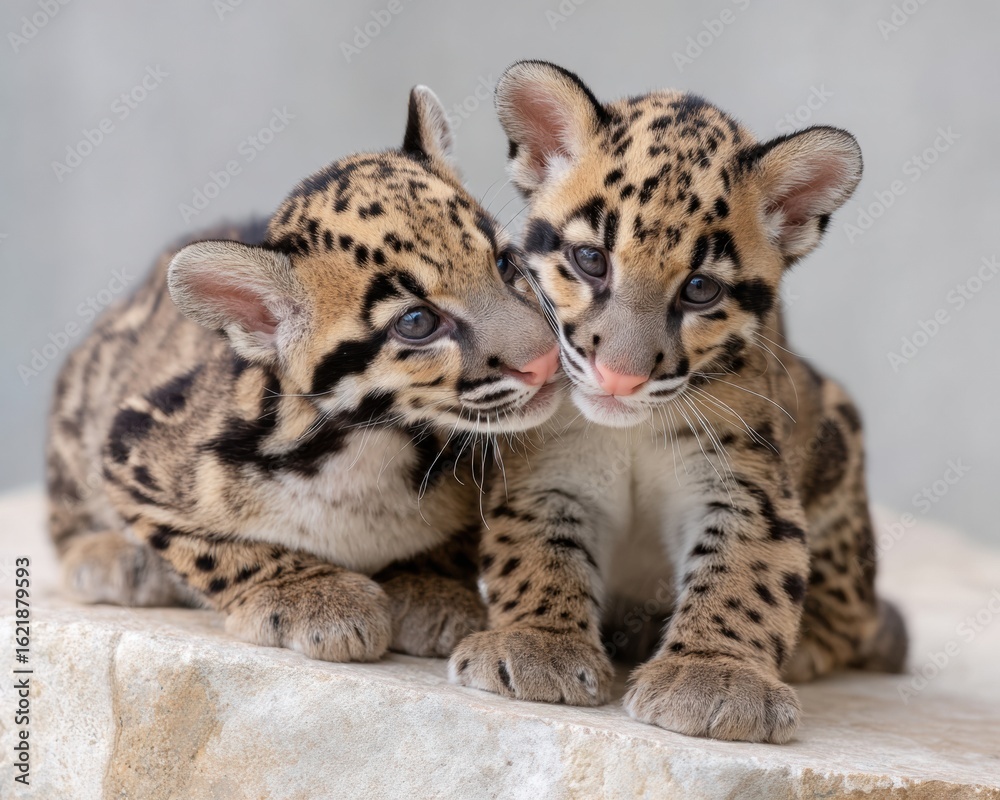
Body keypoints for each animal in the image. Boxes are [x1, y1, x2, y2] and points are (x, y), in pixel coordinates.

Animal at [46, 85, 562, 663]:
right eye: (417, 322)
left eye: (505, 264)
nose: (549, 359)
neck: (370, 444)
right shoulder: (129, 444)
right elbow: (210, 550)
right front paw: (307, 594)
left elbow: (457, 541)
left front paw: (428, 582)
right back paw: (107, 555)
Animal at [449, 60, 908, 743]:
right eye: (590, 259)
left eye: (699, 289)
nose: (620, 376)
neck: (627, 433)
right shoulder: (546, 472)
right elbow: (535, 549)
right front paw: (538, 642)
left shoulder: (745, 478)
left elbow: (746, 572)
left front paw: (717, 676)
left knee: (853, 617)